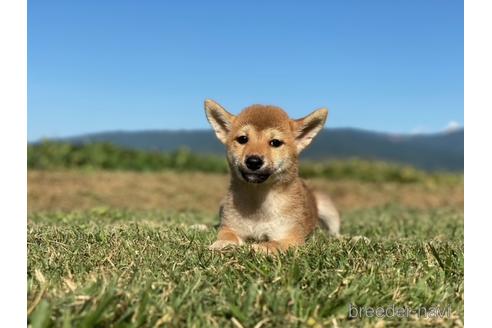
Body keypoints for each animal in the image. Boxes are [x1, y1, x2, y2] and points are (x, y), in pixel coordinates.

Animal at [203, 99, 338, 254]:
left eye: (275, 142)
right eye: (243, 139)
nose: (253, 161)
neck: (258, 204)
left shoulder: (290, 237)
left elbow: (273, 244)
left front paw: (257, 248)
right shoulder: (230, 227)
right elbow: (226, 235)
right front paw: (222, 244)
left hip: (328, 209)